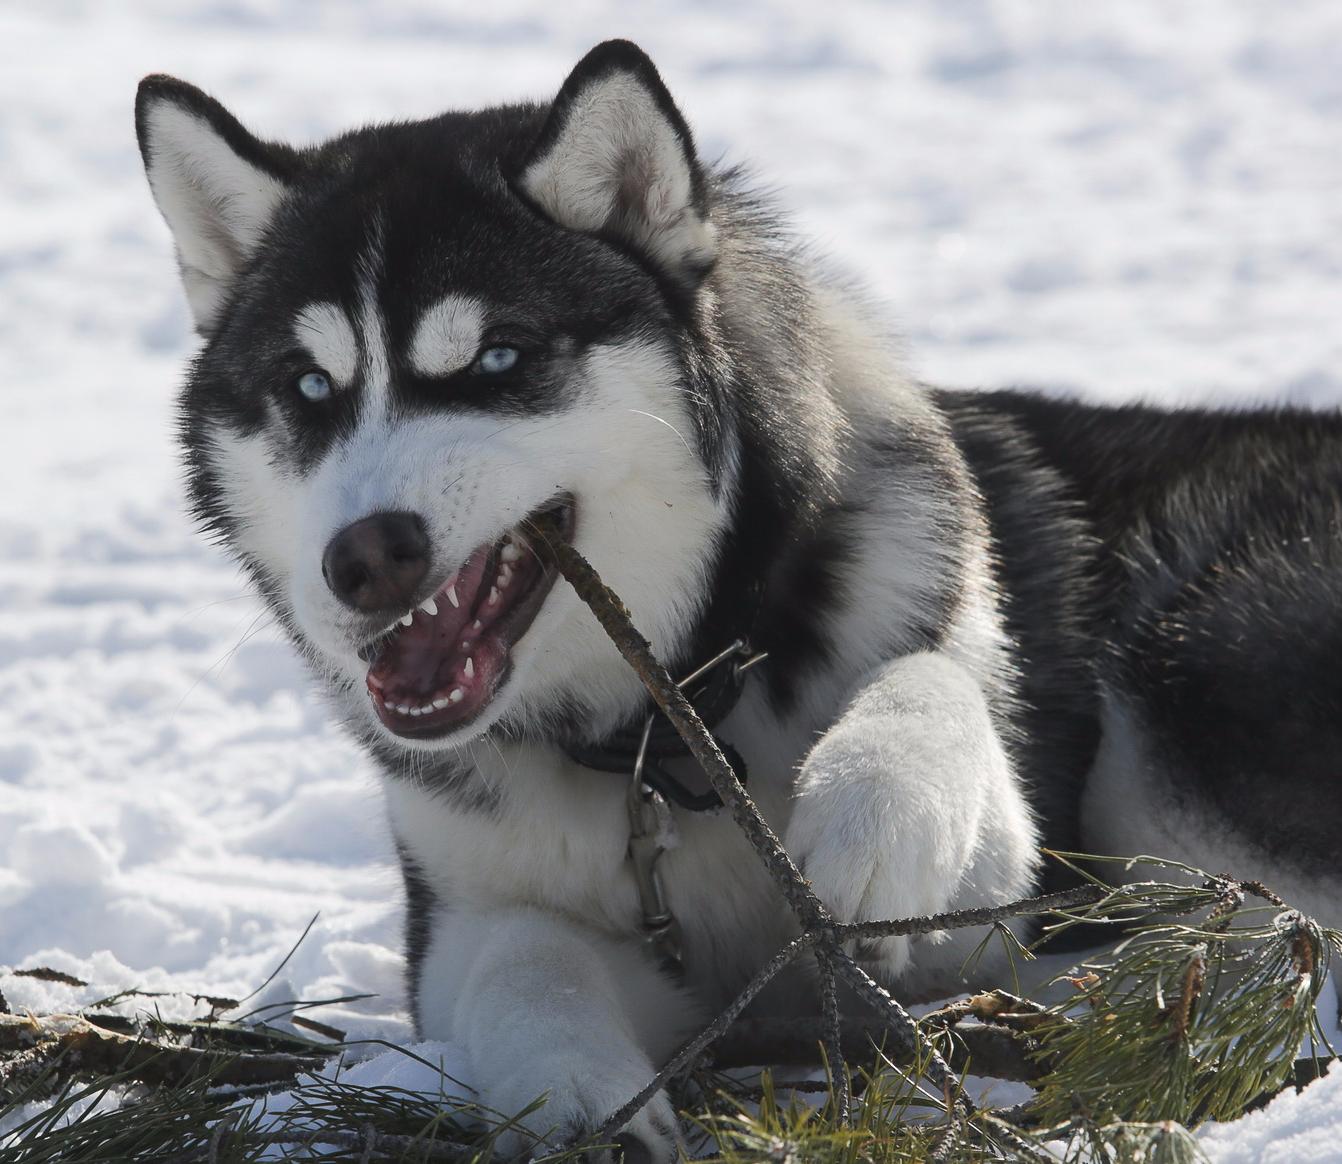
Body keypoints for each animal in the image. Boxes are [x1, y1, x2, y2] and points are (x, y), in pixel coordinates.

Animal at [138, 40, 1342, 1159]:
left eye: (499, 357)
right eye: (308, 387)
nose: (364, 557)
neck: (664, 733)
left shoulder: (1002, 887)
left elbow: (932, 683)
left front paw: (874, 812)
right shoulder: (475, 915)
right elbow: (523, 962)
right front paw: (575, 1104)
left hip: (1186, 698)